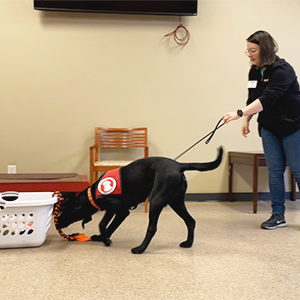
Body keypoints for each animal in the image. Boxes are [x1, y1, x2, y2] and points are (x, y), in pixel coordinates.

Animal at [56, 146, 223, 254]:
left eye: (65, 211)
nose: (57, 223)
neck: (93, 194)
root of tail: (179, 165)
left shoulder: (114, 207)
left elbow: (102, 224)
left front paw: (105, 240)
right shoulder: (123, 212)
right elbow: (111, 227)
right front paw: (103, 238)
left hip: (157, 200)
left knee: (152, 228)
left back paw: (140, 249)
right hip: (175, 202)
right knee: (190, 221)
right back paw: (188, 243)